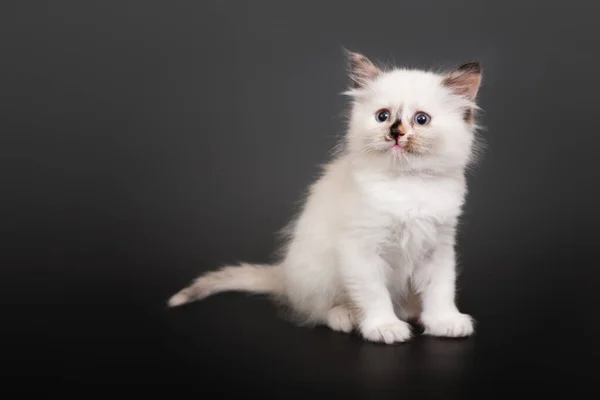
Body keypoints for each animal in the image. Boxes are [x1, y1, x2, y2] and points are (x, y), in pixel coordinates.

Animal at [168, 50, 482, 344]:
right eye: (383, 116)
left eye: (421, 120)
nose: (395, 132)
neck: (407, 184)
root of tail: (284, 275)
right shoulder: (361, 250)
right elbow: (374, 293)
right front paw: (384, 327)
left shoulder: (439, 247)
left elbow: (441, 289)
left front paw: (444, 322)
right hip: (318, 273)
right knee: (317, 310)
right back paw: (347, 317)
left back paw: (412, 312)